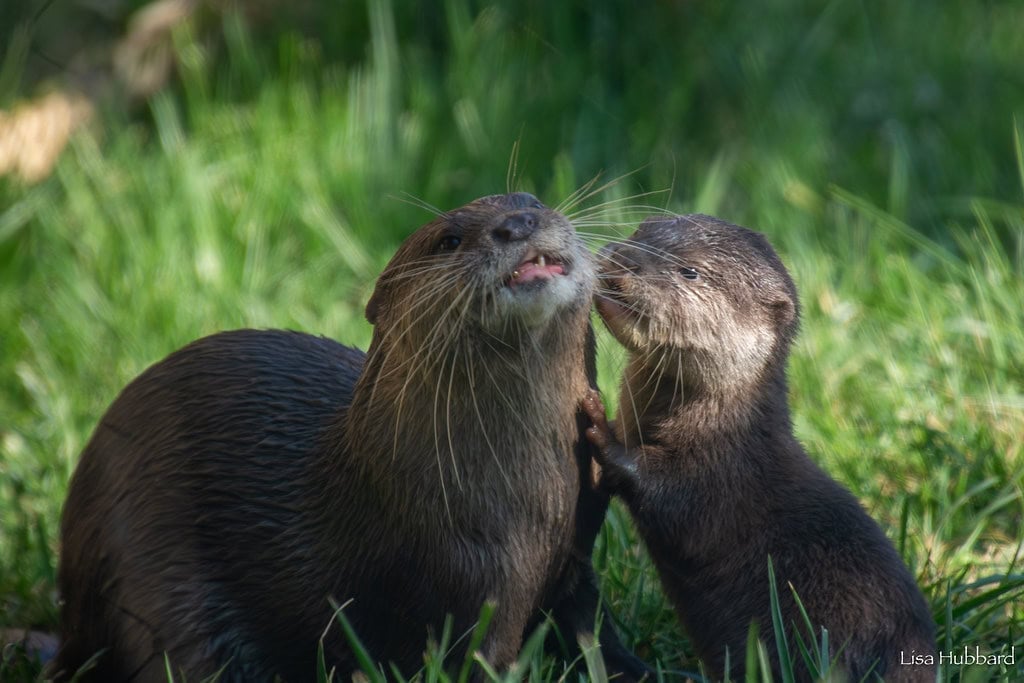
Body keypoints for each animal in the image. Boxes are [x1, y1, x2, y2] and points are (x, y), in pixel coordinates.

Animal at [53, 193, 646, 682]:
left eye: (533, 200)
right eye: (449, 239)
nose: (519, 223)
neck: (536, 505)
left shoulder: (576, 557)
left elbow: (593, 631)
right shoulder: (472, 581)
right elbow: (477, 658)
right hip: (148, 579)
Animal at [581, 214, 936, 681]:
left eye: (689, 272)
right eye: (641, 232)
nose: (623, 259)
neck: (723, 425)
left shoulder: (719, 474)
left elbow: (667, 500)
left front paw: (599, 425)